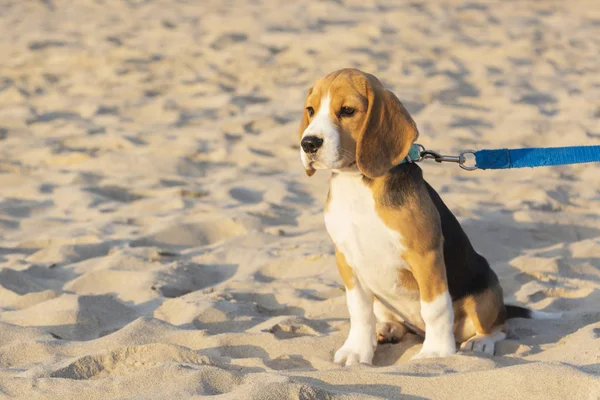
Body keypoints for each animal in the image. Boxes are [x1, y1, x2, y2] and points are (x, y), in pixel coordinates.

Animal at [298, 69, 556, 366]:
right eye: (311, 110)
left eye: (348, 110)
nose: (308, 143)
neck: (358, 183)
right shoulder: (347, 260)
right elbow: (360, 312)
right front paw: (357, 351)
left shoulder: (426, 255)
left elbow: (435, 308)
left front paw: (436, 353)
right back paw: (387, 328)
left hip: (485, 295)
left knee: (499, 326)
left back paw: (480, 342)